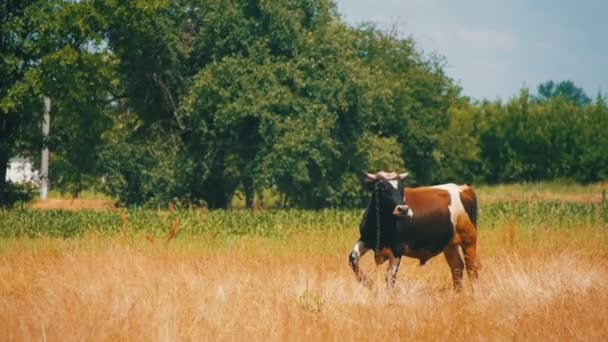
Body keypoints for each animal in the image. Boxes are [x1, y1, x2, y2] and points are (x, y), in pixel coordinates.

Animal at [350, 172, 478, 290]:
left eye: (401, 187)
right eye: (381, 188)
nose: (402, 209)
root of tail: (463, 189)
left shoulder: (397, 249)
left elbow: (390, 277)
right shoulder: (365, 239)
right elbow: (353, 258)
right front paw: (368, 282)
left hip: (469, 240)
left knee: (472, 269)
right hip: (449, 244)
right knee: (457, 267)